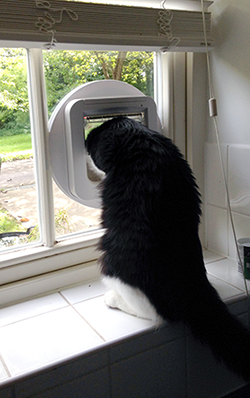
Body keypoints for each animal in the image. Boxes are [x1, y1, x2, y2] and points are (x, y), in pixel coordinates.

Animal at [85, 116, 250, 380]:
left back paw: (114, 299)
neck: (137, 134)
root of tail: (194, 286)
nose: (85, 141)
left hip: (112, 260)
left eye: (91, 143)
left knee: (158, 314)